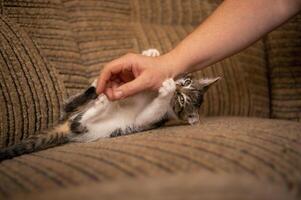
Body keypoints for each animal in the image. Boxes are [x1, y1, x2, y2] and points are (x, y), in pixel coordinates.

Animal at [0, 49, 220, 162]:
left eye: (182, 100)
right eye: (186, 82)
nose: (177, 86)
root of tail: (64, 124)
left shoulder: (148, 120)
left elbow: (150, 111)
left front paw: (165, 90)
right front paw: (150, 54)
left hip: (99, 130)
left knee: (78, 123)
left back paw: (101, 105)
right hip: (77, 106)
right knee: (72, 105)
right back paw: (97, 86)